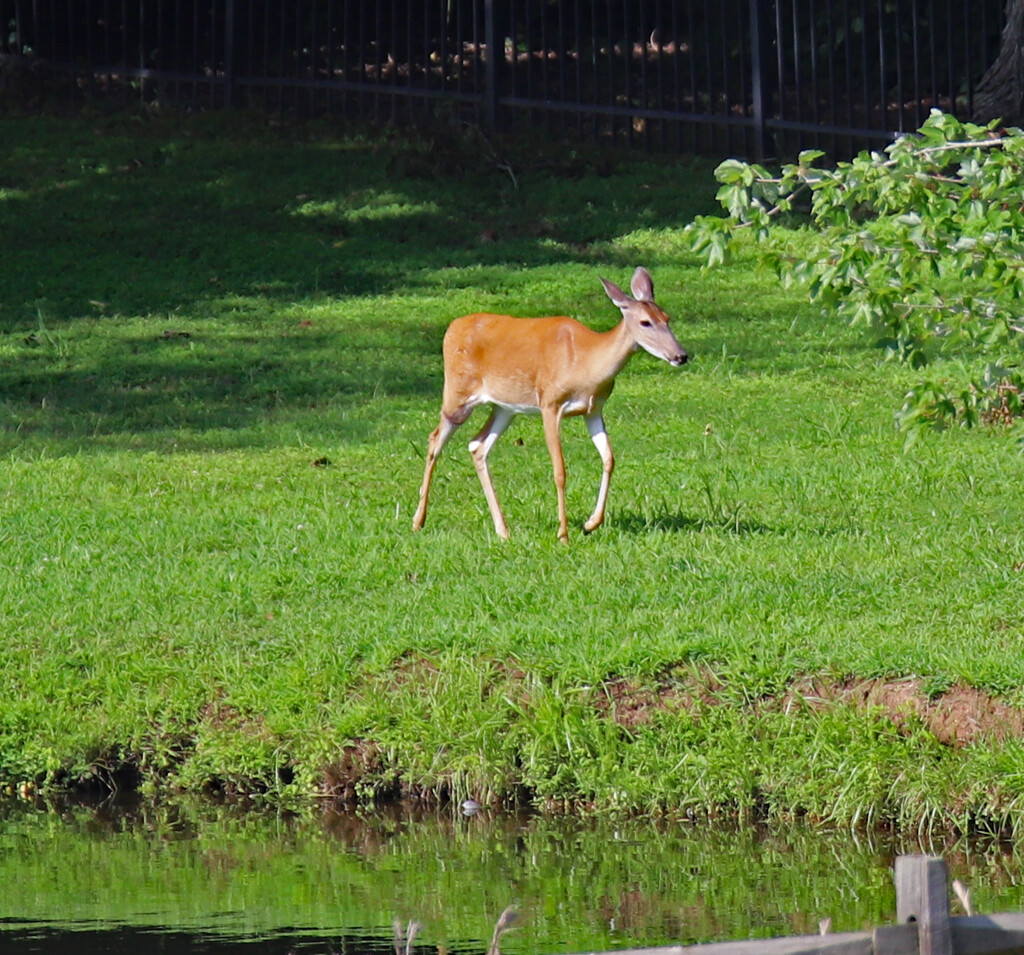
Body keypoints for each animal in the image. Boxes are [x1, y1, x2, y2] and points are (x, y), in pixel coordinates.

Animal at [409, 264, 688, 540]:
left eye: (667, 318)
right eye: (645, 322)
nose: (681, 355)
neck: (586, 363)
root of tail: (452, 327)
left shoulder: (593, 408)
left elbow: (609, 458)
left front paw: (590, 523)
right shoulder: (550, 403)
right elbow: (559, 470)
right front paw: (563, 533)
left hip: (505, 407)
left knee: (477, 445)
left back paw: (503, 530)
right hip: (457, 393)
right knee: (435, 439)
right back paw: (418, 521)